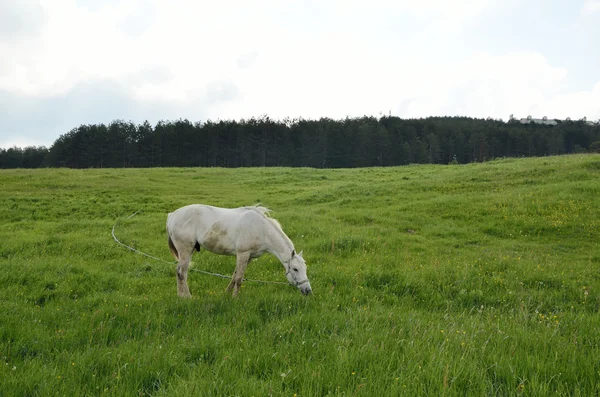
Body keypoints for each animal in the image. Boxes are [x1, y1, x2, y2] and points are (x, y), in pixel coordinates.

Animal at [166, 204, 312, 296]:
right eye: (295, 269)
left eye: (305, 268)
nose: (308, 290)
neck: (262, 229)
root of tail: (173, 215)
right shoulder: (243, 254)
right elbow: (239, 279)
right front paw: (235, 298)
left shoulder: (249, 257)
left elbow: (234, 276)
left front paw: (226, 295)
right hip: (185, 250)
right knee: (182, 273)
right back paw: (187, 297)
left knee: (180, 272)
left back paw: (180, 296)